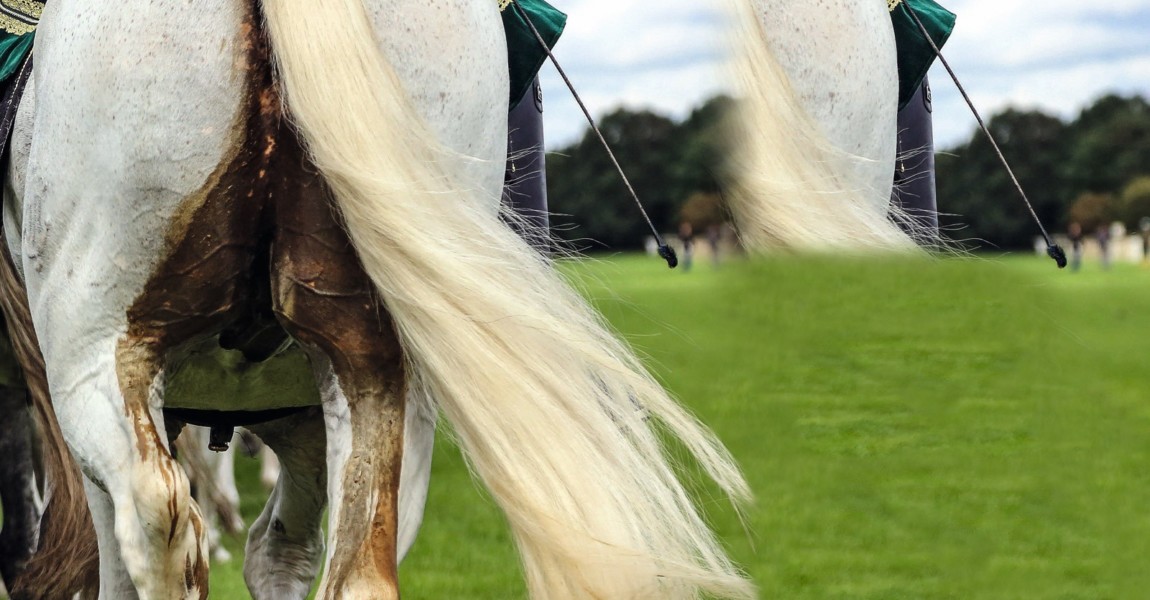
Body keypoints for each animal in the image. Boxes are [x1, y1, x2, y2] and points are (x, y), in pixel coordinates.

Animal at [4, 1, 754, 597]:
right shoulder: (303, 414)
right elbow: (283, 553)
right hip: (383, 375)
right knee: (356, 573)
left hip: (98, 356)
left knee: (152, 522)